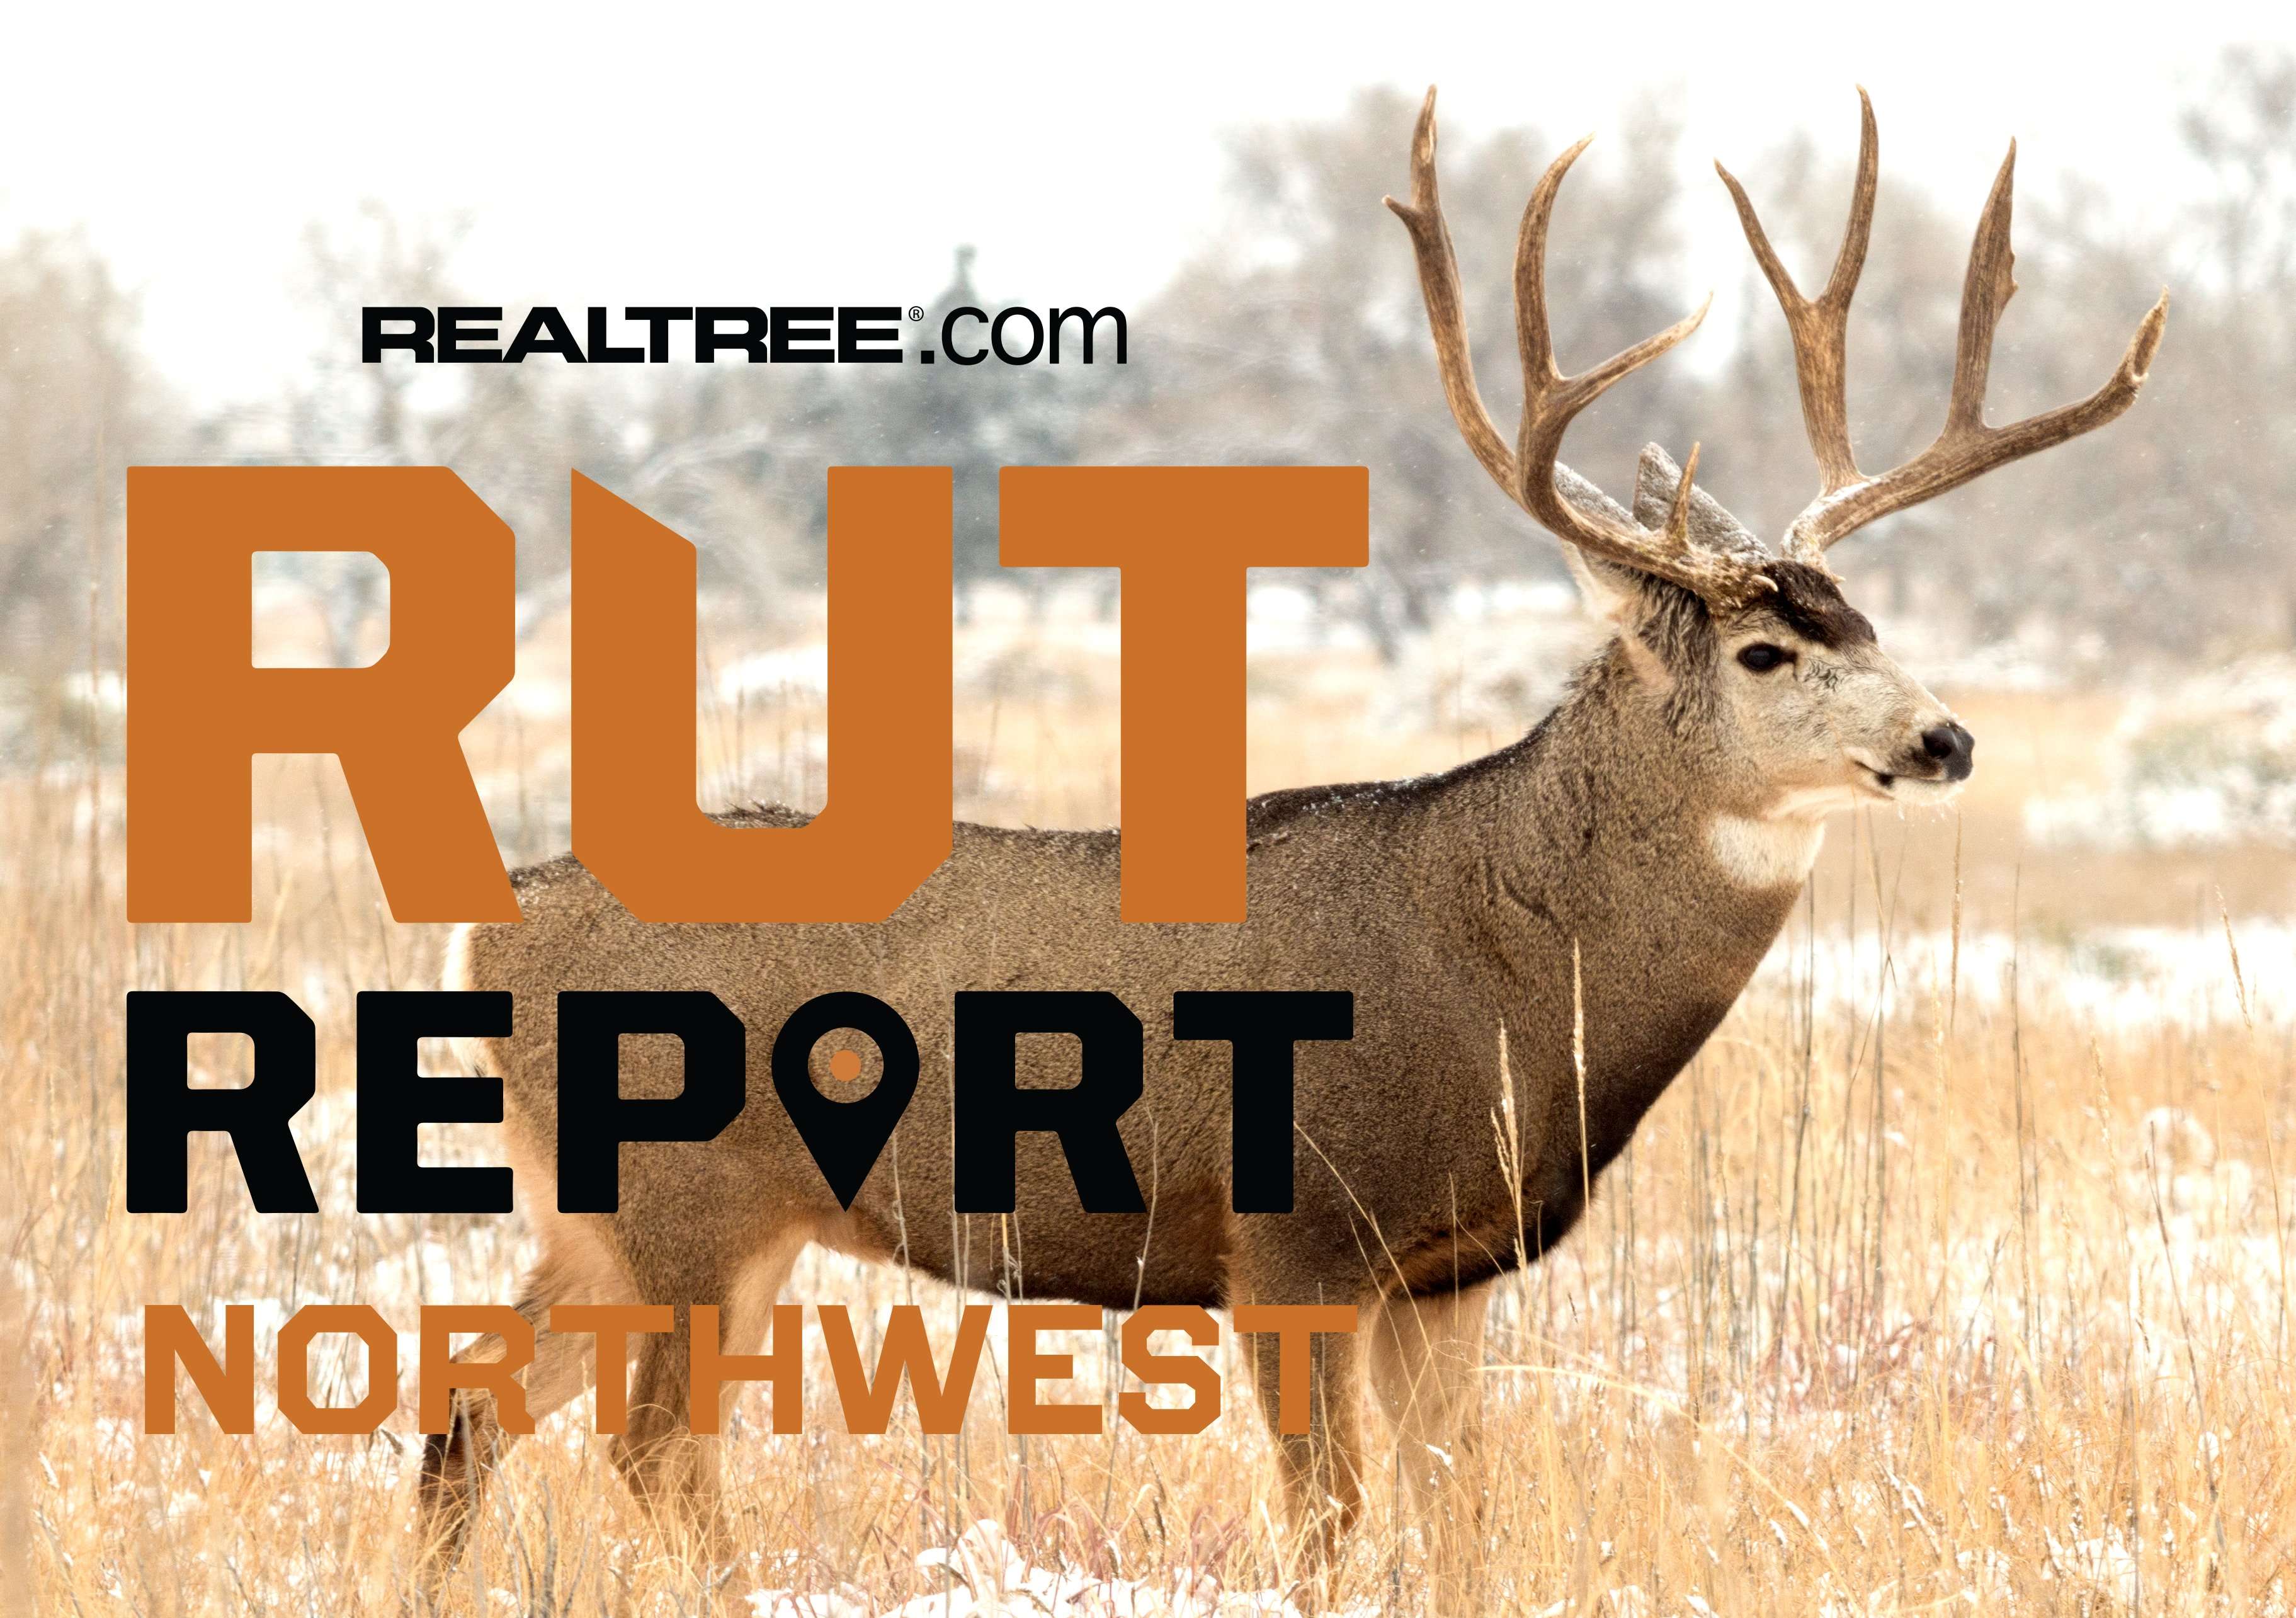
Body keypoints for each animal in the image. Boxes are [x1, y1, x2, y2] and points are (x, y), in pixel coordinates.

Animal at [416, 88, 2165, 1605]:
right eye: (1762, 653)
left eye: (1865, 620)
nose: (1942, 740)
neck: (1500, 972)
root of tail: (489, 925)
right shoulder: (1287, 1239)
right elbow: (1327, 1525)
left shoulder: (1451, 1271)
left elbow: (1459, 1518)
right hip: (686, 1207)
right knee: (651, 1451)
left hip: (611, 1223)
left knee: (466, 1410)